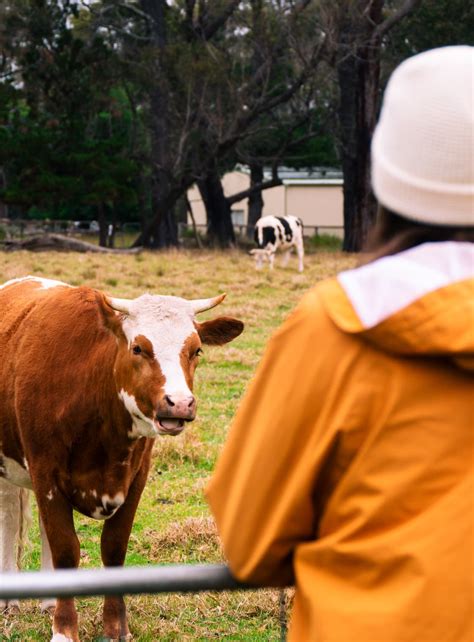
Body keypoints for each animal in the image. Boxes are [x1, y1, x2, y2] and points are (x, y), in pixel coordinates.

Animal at [0, 276, 243, 640]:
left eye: (196, 350)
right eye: (138, 348)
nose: (180, 403)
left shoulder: (135, 477)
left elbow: (113, 548)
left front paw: (116, 627)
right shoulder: (46, 473)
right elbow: (66, 547)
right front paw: (64, 629)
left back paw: (47, 602)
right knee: (9, 517)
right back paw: (12, 602)